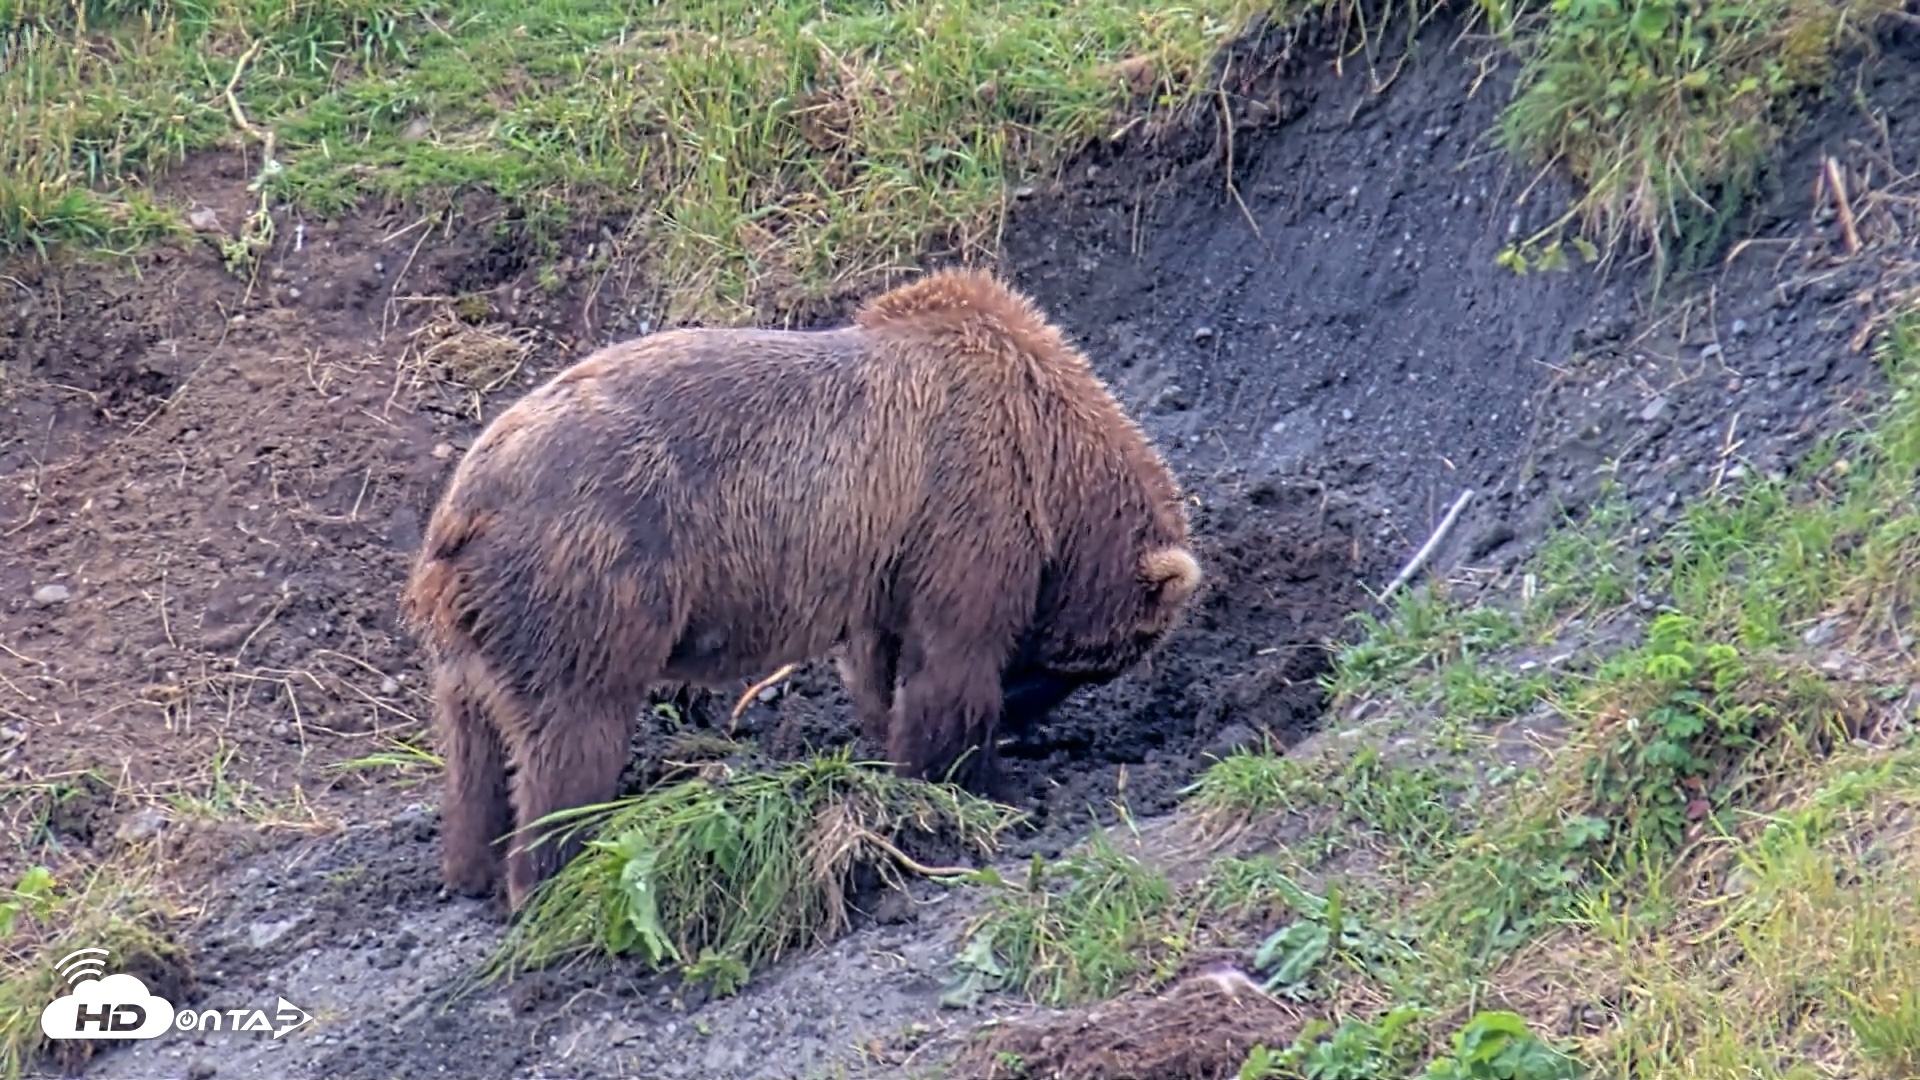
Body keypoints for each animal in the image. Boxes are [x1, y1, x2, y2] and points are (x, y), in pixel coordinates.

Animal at [402, 267, 1203, 912]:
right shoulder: (968, 503)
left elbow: (883, 662)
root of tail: (462, 509)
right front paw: (977, 783)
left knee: (474, 749)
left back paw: (470, 866)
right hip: (591, 577)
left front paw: (903, 750)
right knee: (573, 735)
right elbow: (952, 658)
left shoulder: (890, 547)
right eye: (1069, 667)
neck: (1053, 451)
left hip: (470, 639)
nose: (1019, 720)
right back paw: (551, 874)